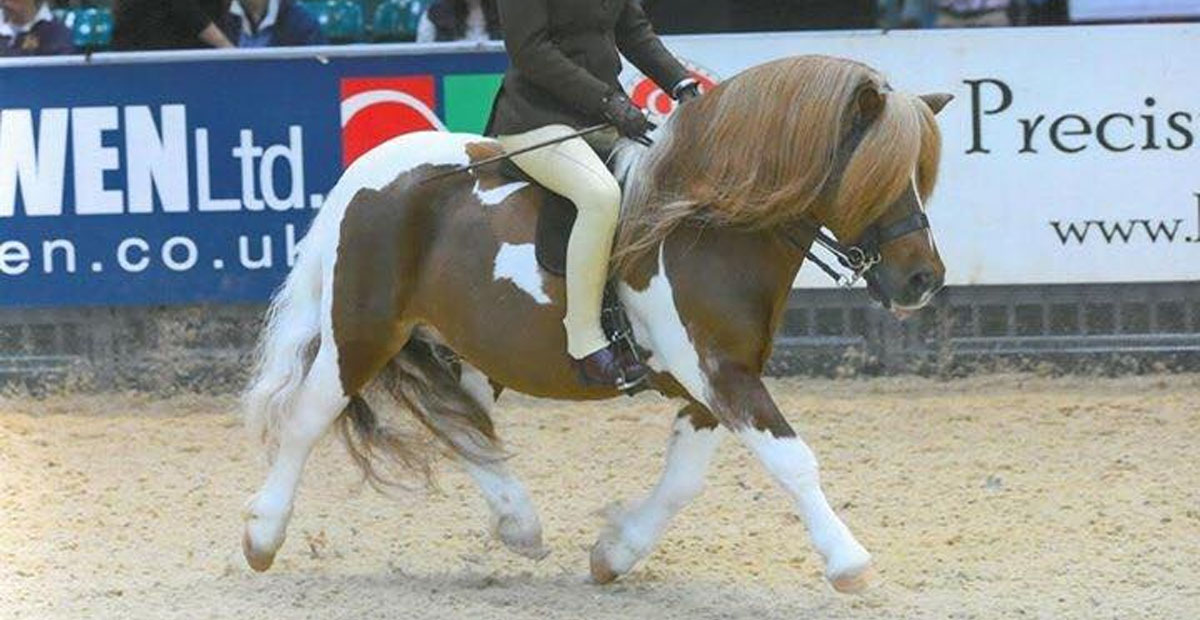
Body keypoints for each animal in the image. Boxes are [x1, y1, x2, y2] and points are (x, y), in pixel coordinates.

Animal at [243, 55, 950, 592]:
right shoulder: (719, 371)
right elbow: (793, 460)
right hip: (360, 331)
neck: (710, 226)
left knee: (464, 424)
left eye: (920, 176)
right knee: (308, 417)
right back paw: (261, 536)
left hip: (474, 349)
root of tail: (363, 173)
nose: (924, 280)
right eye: (875, 177)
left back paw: (519, 524)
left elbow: (684, 479)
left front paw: (615, 553)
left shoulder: (713, 381)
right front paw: (849, 562)